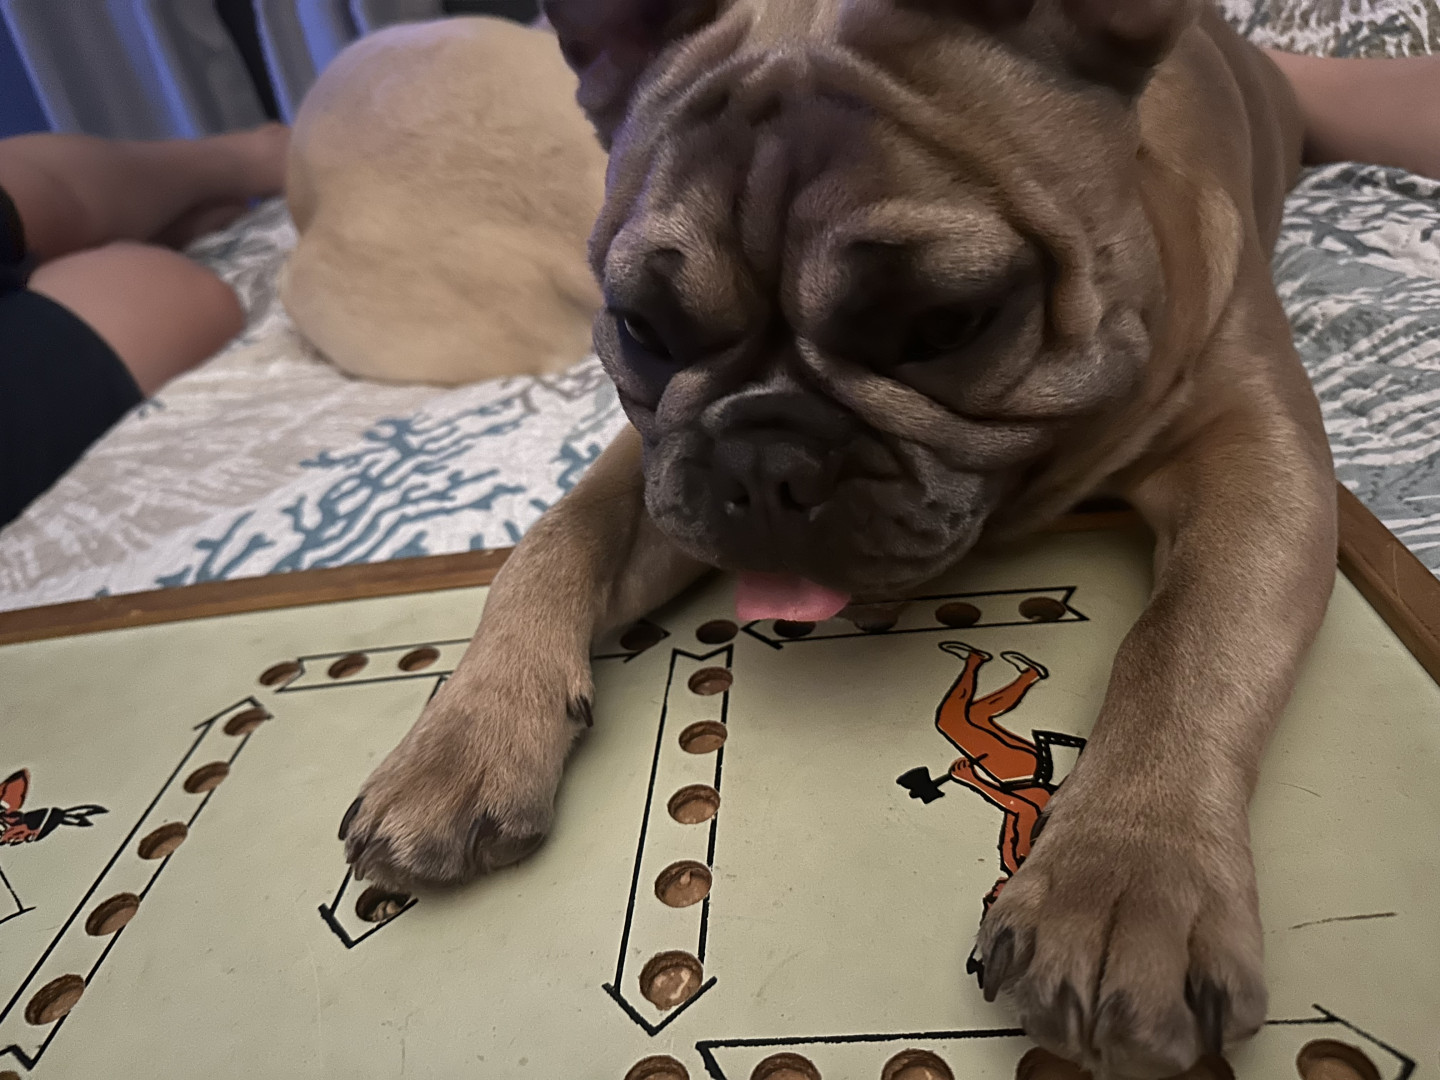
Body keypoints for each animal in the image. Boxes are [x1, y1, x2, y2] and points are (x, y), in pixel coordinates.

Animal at [339, 2, 1337, 1075]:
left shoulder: (1256, 451)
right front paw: (459, 742)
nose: (763, 456)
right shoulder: (653, 466)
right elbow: (551, 539)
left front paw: (1126, 875)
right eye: (641, 327)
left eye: (946, 323)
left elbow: (1186, 640)